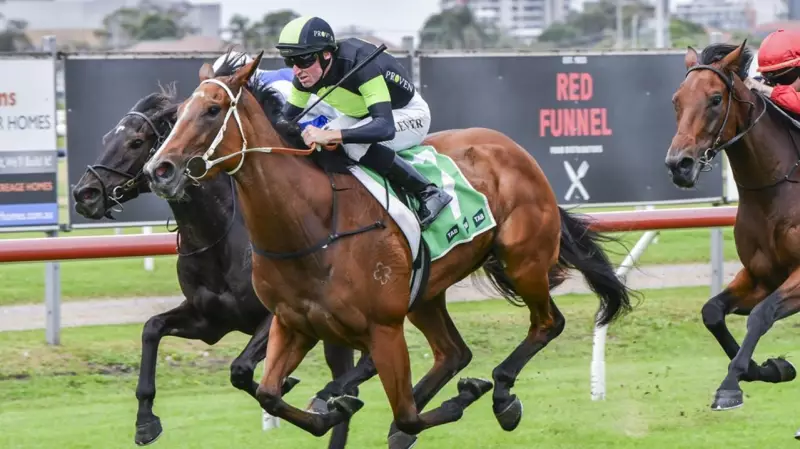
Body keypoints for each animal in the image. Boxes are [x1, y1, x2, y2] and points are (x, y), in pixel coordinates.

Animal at [70, 79, 361, 448]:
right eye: (108, 138)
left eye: (136, 141)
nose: (84, 194)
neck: (221, 235)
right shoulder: (210, 320)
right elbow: (152, 328)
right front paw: (145, 420)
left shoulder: (281, 315)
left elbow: (242, 370)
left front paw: (293, 391)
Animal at [141, 51, 636, 447]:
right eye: (177, 114)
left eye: (212, 110)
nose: (159, 169)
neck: (310, 227)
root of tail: (513, 149)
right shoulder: (291, 323)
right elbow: (267, 392)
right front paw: (334, 406)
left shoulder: (383, 330)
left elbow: (407, 414)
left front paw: (455, 399)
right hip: (426, 292)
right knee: (453, 353)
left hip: (523, 260)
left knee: (547, 323)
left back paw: (499, 394)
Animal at [665, 41, 800, 421]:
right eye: (676, 100)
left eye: (715, 99)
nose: (679, 165)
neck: (776, 189)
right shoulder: (760, 276)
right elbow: (712, 312)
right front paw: (768, 369)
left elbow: (761, 314)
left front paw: (729, 387)